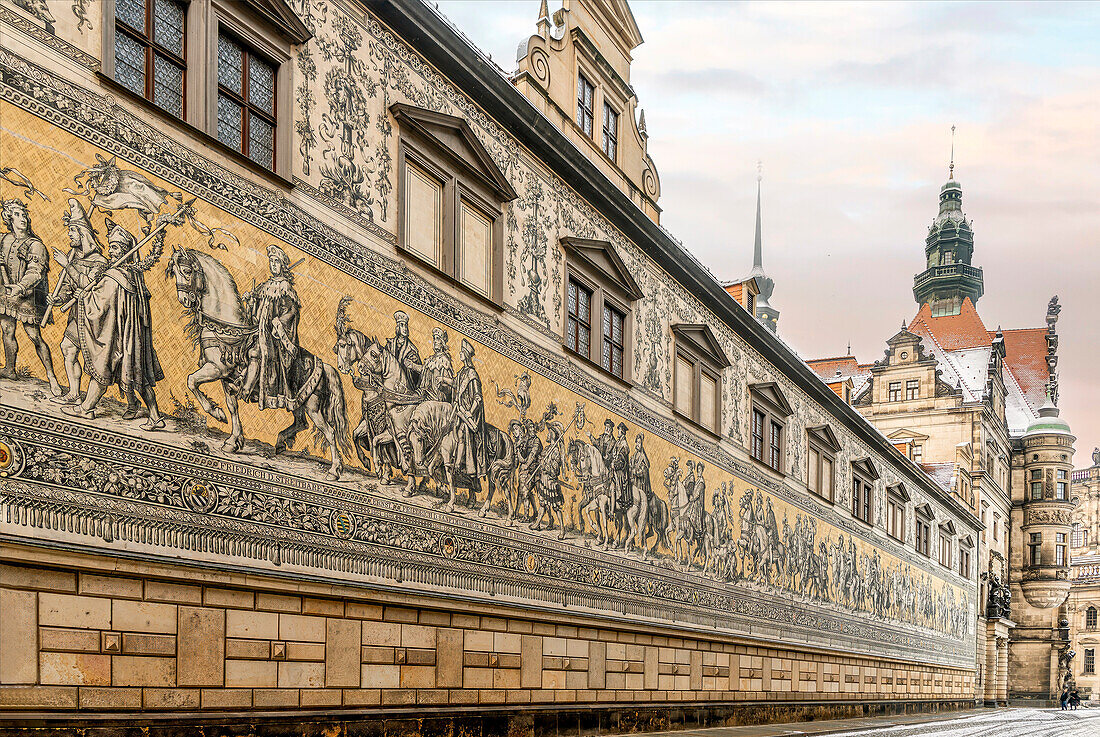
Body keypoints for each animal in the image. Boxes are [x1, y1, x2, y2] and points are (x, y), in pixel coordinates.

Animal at [163, 246, 347, 479]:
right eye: (173, 271)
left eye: (186, 270)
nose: (185, 299)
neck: (226, 328)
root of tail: (326, 366)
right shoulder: (227, 379)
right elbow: (232, 407)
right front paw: (233, 441)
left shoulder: (216, 368)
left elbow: (191, 381)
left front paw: (216, 413)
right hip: (298, 401)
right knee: (302, 423)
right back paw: (280, 442)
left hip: (313, 405)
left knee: (329, 431)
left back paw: (334, 470)